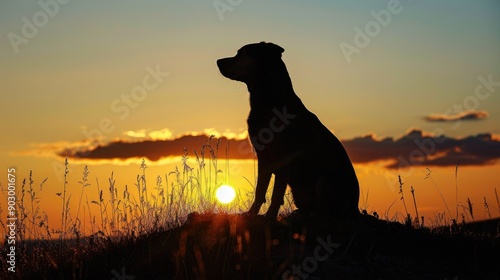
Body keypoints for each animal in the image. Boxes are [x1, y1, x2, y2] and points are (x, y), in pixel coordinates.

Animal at [218, 42, 360, 221]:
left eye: (242, 53)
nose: (218, 61)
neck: (267, 102)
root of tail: (355, 209)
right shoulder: (263, 155)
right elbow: (260, 190)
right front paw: (251, 214)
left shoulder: (283, 158)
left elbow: (276, 193)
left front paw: (270, 217)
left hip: (324, 181)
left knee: (327, 211)